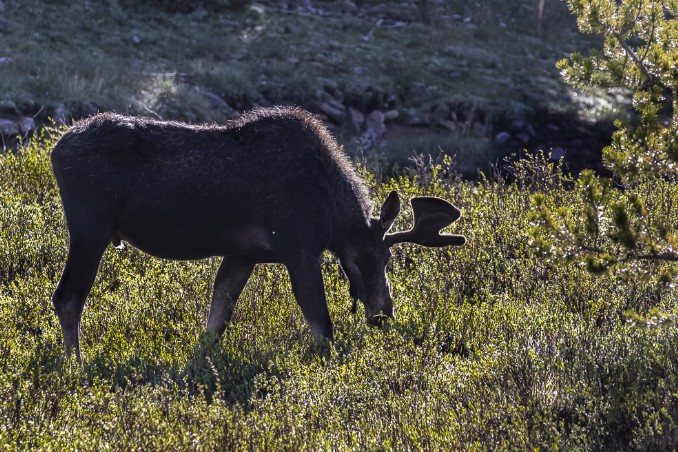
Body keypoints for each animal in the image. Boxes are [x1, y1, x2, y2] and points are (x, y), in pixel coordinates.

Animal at [51, 106, 468, 360]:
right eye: (376, 257)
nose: (384, 312)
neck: (332, 214)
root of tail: (56, 149)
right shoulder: (298, 249)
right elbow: (322, 326)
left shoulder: (243, 253)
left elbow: (216, 320)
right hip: (90, 230)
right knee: (67, 297)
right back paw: (77, 365)